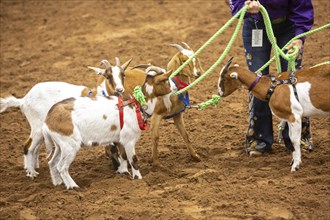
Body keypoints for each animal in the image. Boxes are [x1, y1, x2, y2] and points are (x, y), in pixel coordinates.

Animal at [0, 57, 131, 178]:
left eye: (123, 74)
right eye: (108, 76)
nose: (119, 90)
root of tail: (23, 100)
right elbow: (113, 149)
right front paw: (120, 170)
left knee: (35, 148)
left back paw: (34, 167)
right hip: (37, 127)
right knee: (28, 146)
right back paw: (31, 173)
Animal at [42, 66, 173, 188]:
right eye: (165, 80)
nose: (173, 89)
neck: (135, 105)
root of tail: (47, 119)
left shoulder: (119, 140)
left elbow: (123, 157)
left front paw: (123, 173)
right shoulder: (129, 140)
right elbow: (133, 160)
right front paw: (138, 179)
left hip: (60, 145)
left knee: (52, 163)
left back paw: (57, 183)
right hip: (70, 145)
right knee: (61, 167)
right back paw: (73, 187)